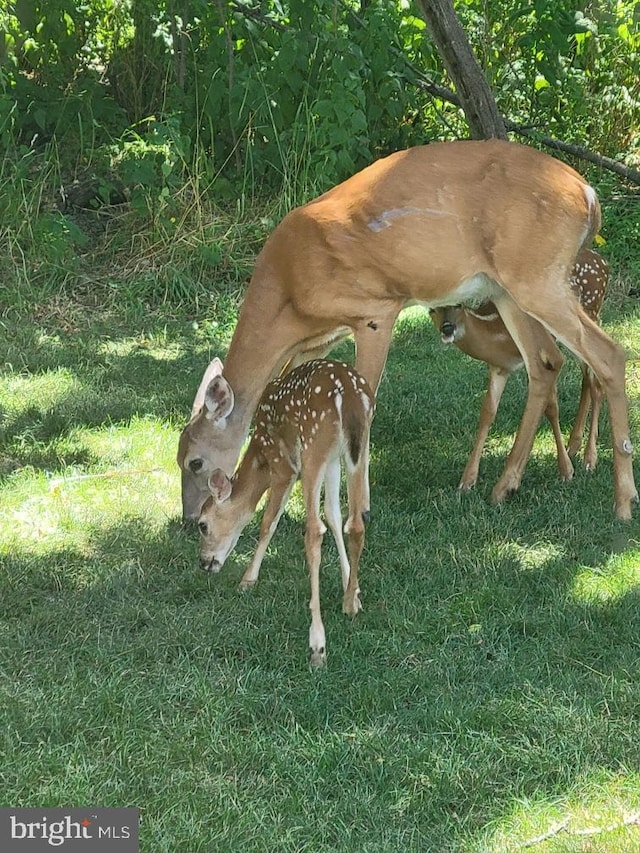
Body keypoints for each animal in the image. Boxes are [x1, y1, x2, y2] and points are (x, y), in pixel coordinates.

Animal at [198, 358, 372, 664]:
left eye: (203, 524)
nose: (204, 562)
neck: (259, 452)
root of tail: (350, 394)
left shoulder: (283, 466)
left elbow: (268, 521)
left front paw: (247, 580)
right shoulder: (333, 460)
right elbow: (335, 516)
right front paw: (352, 588)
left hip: (313, 443)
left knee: (314, 530)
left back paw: (317, 644)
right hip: (357, 447)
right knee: (355, 522)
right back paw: (349, 604)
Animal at [432, 248, 608, 486]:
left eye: (459, 305)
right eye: (432, 309)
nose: (447, 328)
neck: (496, 330)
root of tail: (602, 261)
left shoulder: (541, 359)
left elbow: (551, 407)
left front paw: (565, 470)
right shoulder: (498, 367)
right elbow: (487, 412)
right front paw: (468, 480)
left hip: (591, 313)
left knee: (597, 381)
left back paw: (589, 458)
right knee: (588, 380)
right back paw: (574, 446)